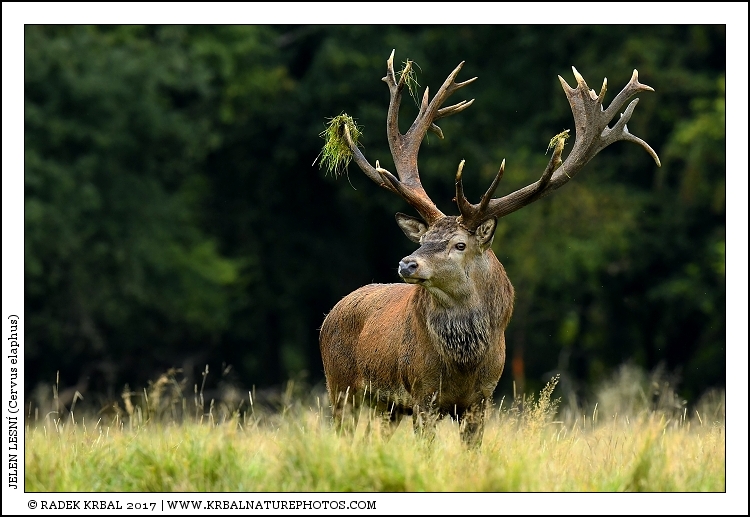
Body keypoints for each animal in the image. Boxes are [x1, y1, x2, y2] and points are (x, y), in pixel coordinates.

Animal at [319, 50, 660, 447]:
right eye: (422, 240)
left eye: (459, 244)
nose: (407, 264)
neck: (463, 365)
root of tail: (330, 315)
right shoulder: (422, 394)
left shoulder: (483, 398)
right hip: (340, 387)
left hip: (386, 407)